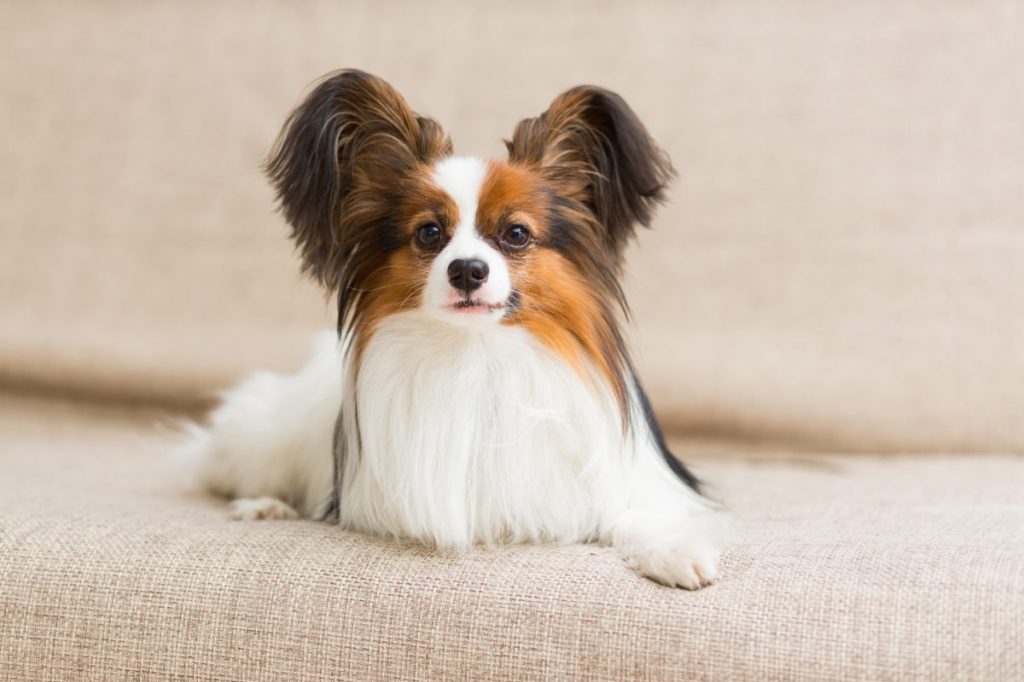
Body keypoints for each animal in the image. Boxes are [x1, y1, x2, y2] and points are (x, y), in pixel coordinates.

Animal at [188, 70, 724, 589]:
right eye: (429, 233)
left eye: (515, 234)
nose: (467, 270)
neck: (477, 354)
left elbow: (633, 515)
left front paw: (674, 552)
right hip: (264, 441)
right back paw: (263, 504)